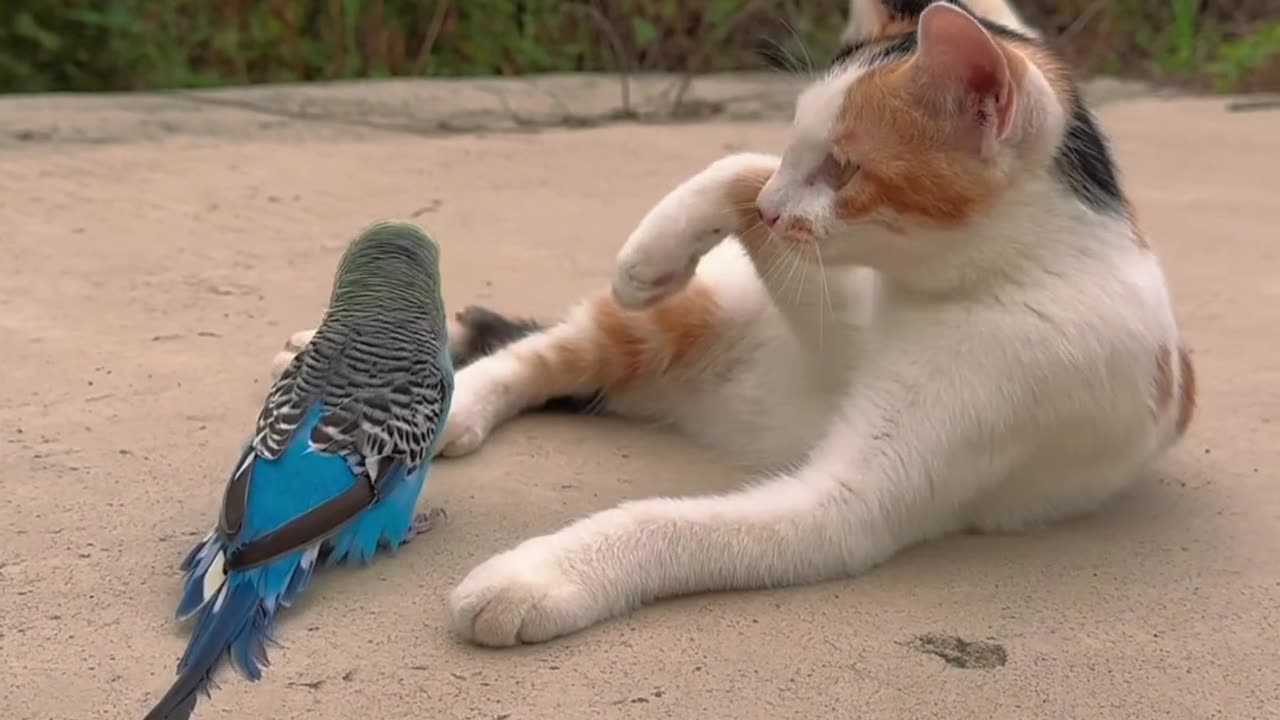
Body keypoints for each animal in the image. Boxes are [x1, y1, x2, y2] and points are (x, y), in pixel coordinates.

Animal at [272, 0, 1198, 645]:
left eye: (842, 168)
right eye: (800, 150)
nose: (781, 208)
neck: (1019, 266)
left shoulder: (860, 500)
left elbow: (668, 522)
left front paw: (536, 577)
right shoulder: (836, 317)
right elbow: (741, 167)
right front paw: (655, 249)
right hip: (683, 319)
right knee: (549, 347)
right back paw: (440, 397)